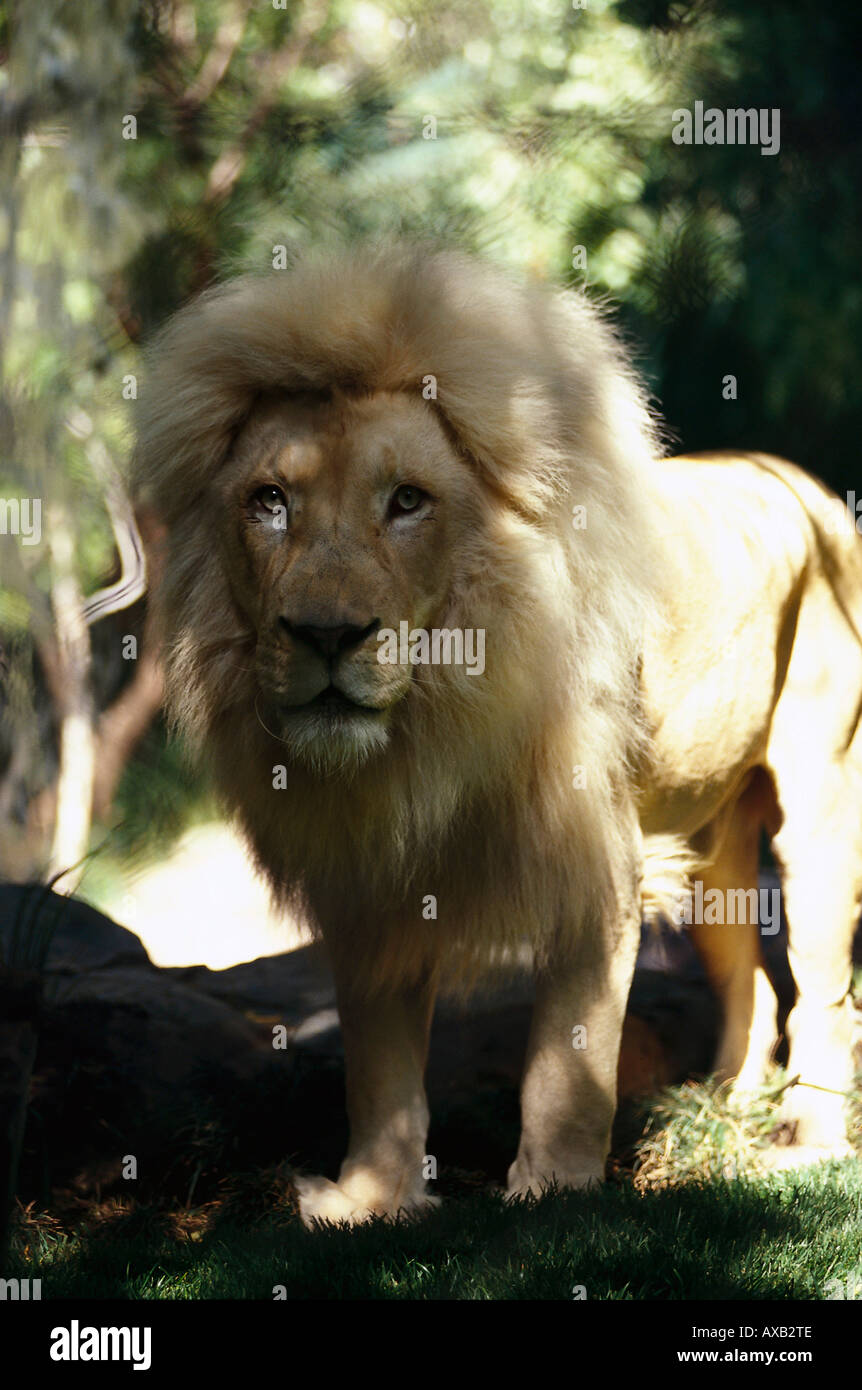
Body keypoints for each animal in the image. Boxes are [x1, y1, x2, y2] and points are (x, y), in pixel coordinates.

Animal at [134, 244, 862, 1223]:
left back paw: (806, 1142)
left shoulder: (595, 867)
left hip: (821, 815)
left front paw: (554, 1193)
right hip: (713, 843)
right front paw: (372, 1200)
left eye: (408, 501)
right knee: (744, 968)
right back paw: (725, 1103)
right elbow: (378, 1063)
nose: (325, 634)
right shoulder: (369, 884)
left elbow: (567, 1059)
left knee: (822, 995)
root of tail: (801, 480)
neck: (431, 730)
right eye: (271, 502)